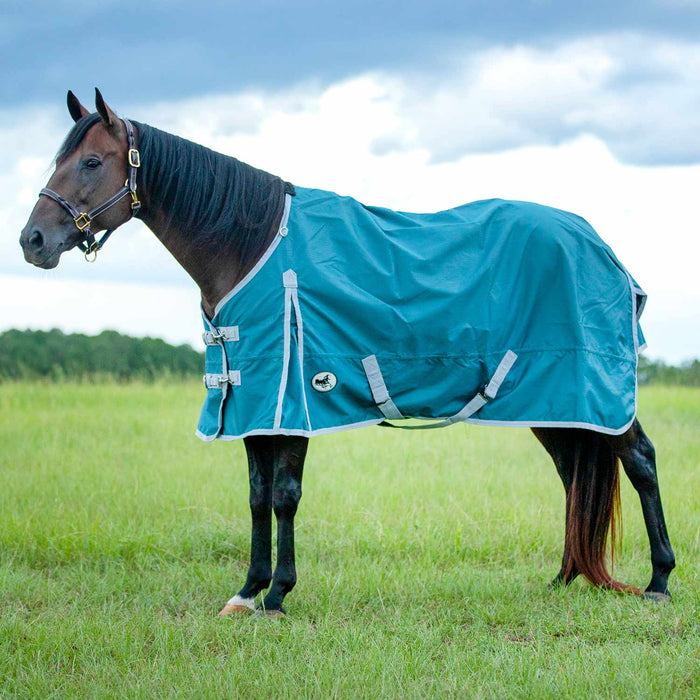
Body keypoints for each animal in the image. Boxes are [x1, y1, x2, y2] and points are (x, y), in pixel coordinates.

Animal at [19, 89, 675, 616]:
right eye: (59, 159)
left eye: (93, 162)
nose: (32, 241)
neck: (251, 243)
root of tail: (601, 247)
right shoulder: (253, 403)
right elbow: (257, 497)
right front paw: (247, 591)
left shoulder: (291, 401)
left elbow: (284, 497)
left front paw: (278, 595)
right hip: (554, 401)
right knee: (573, 474)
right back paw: (563, 579)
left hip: (591, 389)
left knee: (639, 461)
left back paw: (659, 581)